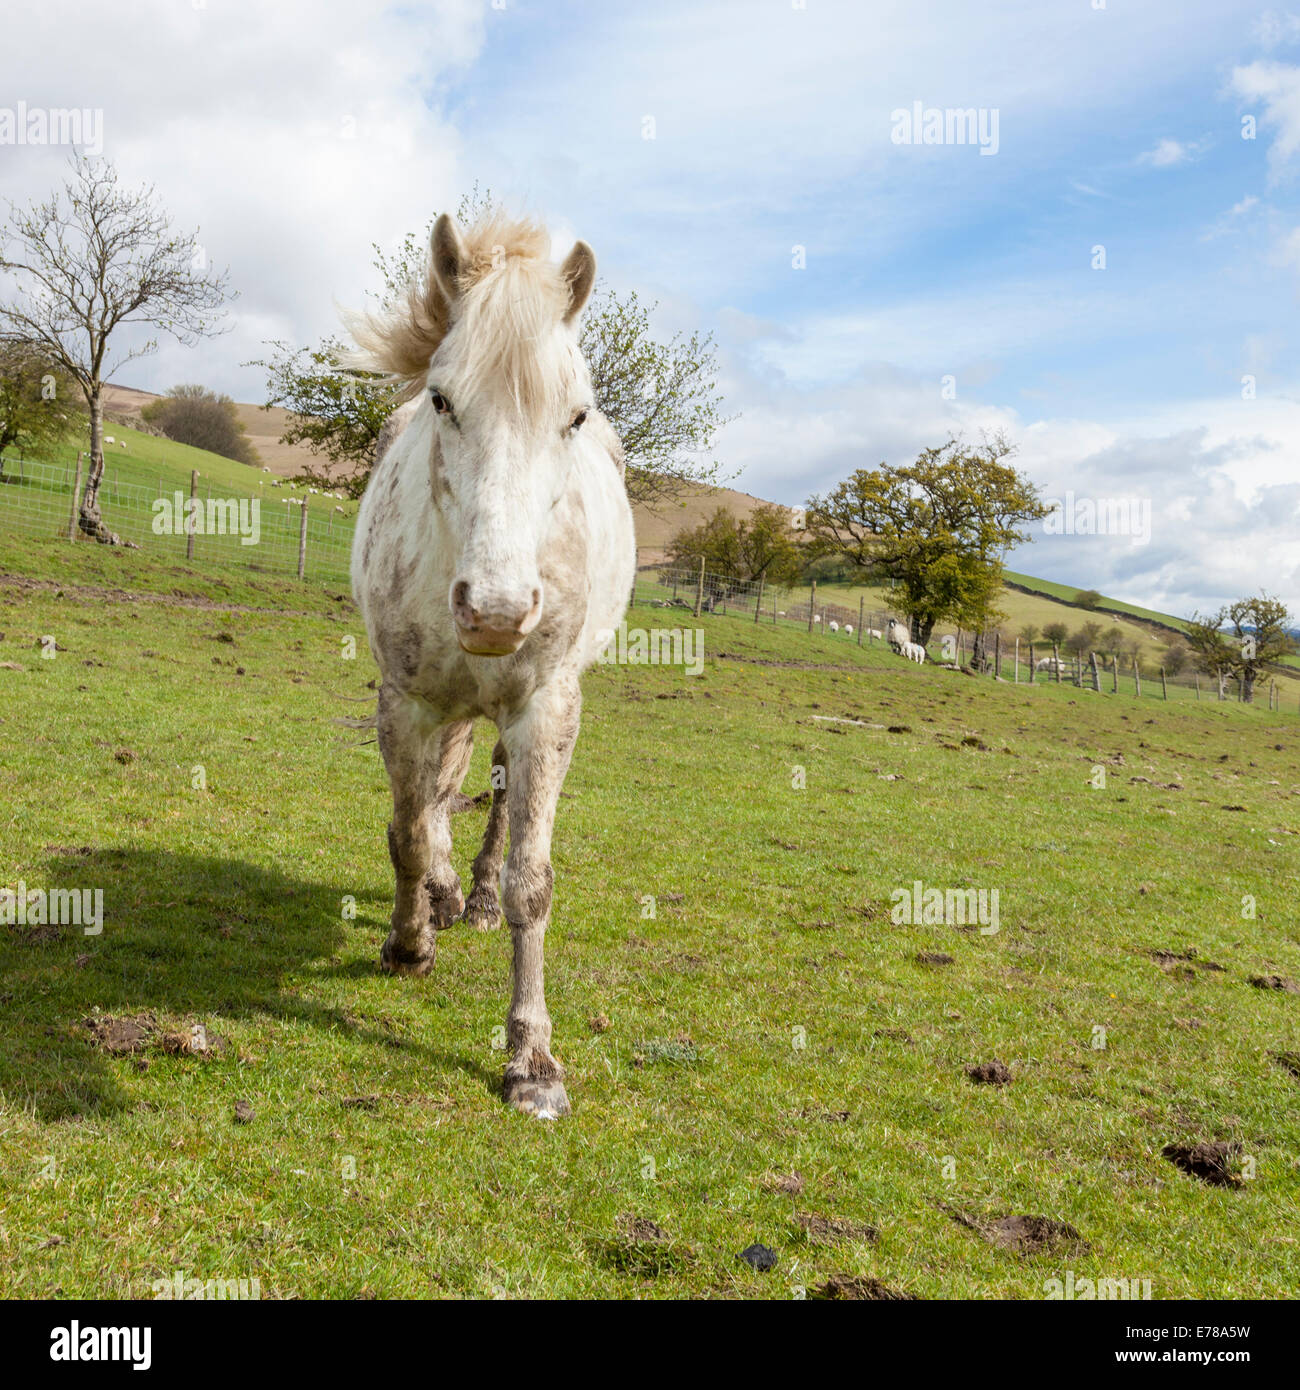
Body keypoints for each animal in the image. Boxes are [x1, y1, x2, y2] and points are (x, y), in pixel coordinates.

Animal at [348, 211, 636, 1119]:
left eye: (575, 416)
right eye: (443, 400)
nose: (499, 612)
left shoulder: (545, 709)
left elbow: (530, 881)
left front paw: (532, 1060)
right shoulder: (406, 701)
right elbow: (408, 830)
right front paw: (409, 945)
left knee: (496, 804)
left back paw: (468, 896)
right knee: (437, 794)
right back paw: (441, 897)